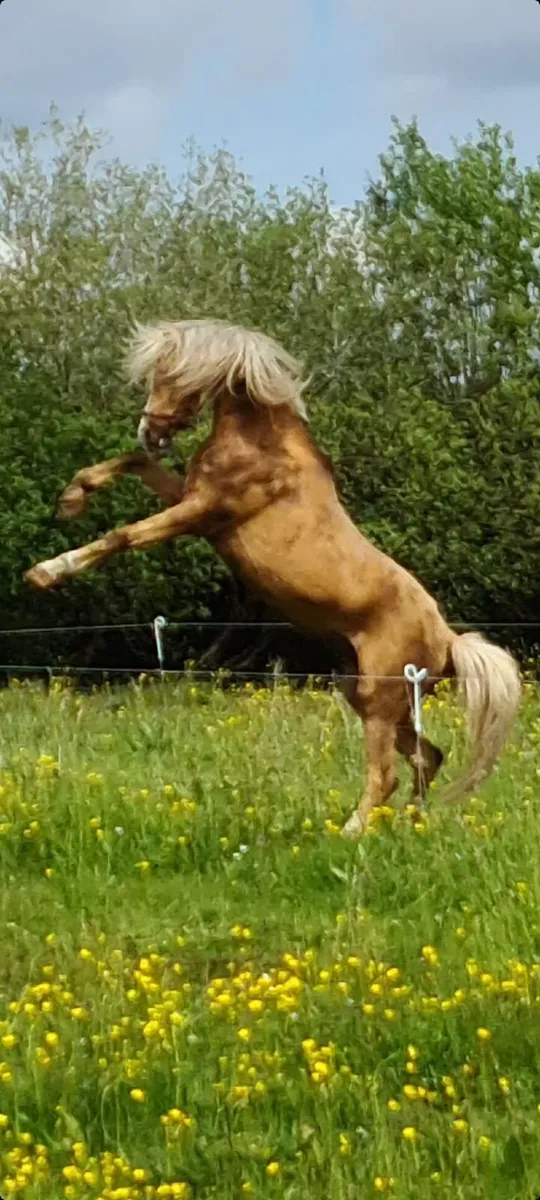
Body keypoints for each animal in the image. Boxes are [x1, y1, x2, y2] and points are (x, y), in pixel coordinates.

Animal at [25, 318, 521, 837]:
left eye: (175, 374)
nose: (150, 430)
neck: (260, 444)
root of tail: (448, 639)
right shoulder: (188, 498)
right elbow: (132, 464)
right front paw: (71, 499)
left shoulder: (203, 511)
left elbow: (121, 535)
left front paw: (45, 572)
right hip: (370, 692)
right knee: (428, 757)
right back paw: (406, 824)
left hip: (380, 696)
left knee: (387, 772)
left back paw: (351, 833)